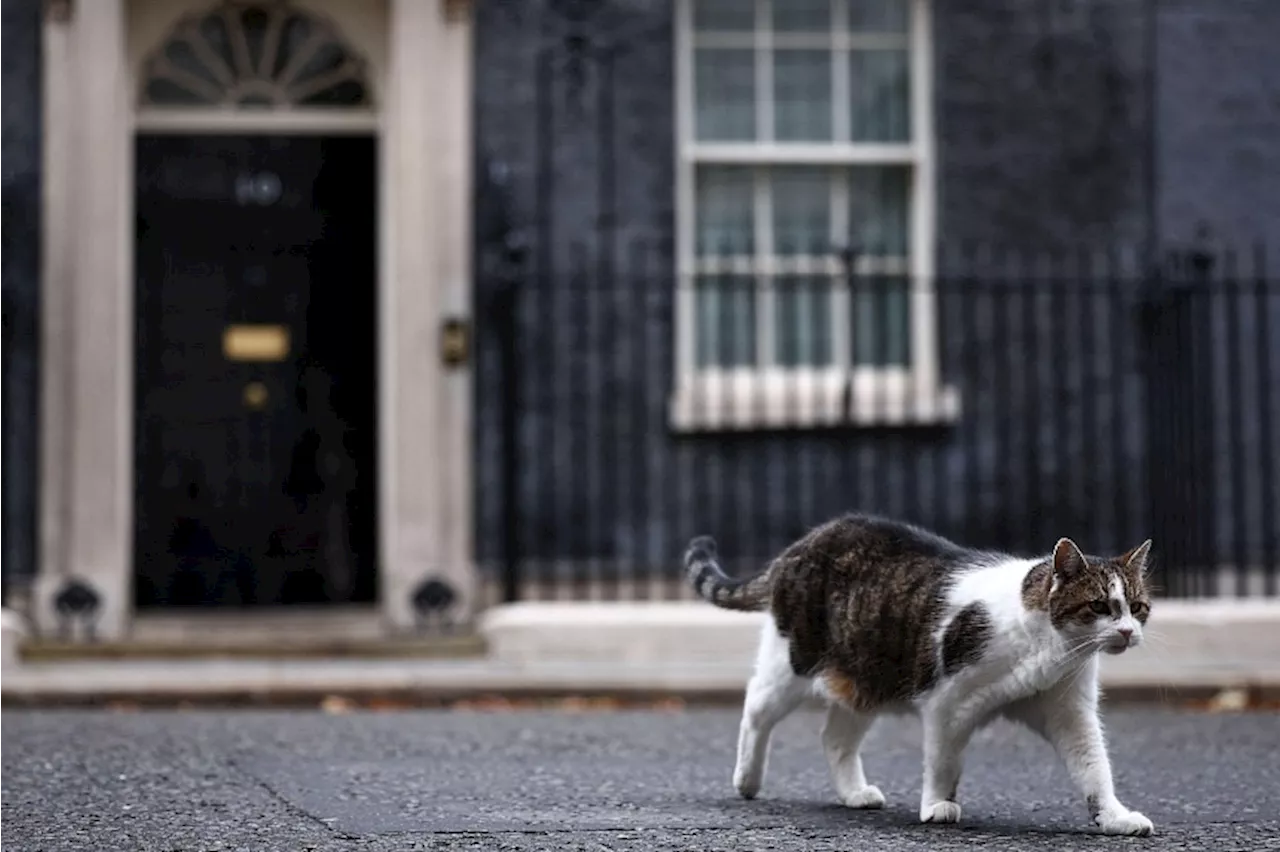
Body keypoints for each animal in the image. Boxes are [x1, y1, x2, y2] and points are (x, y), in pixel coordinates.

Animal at [691, 514, 1162, 834]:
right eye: (1099, 606)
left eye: (1138, 607)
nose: (1127, 632)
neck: (1049, 649)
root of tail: (802, 544)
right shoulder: (947, 702)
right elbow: (943, 761)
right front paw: (937, 805)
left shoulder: (1069, 712)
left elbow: (1093, 766)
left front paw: (1114, 816)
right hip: (794, 663)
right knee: (756, 707)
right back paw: (747, 779)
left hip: (866, 678)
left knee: (834, 737)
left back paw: (854, 793)